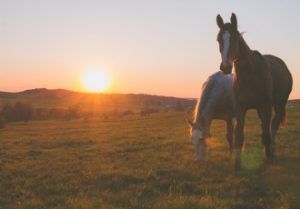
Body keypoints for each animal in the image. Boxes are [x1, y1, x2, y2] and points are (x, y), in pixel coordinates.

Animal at [216, 13, 292, 169]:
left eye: (235, 38)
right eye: (219, 39)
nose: (225, 67)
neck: (250, 74)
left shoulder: (265, 106)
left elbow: (266, 134)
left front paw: (268, 157)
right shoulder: (240, 108)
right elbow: (239, 136)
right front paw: (237, 164)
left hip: (279, 104)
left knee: (273, 125)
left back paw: (271, 150)